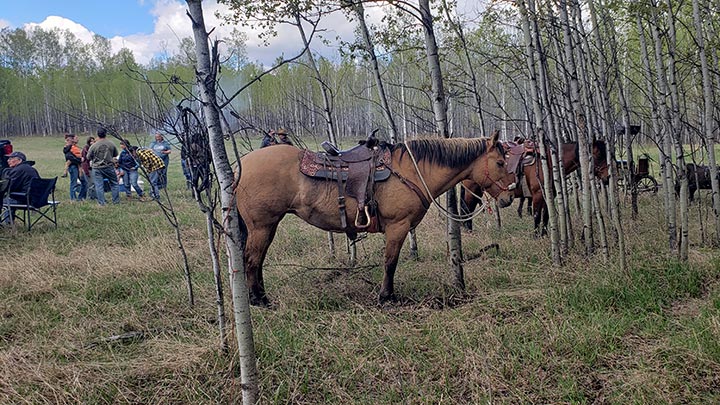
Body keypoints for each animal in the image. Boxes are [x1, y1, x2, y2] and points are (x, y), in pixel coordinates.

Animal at [235, 132, 517, 306]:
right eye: (500, 162)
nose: (509, 197)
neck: (413, 170)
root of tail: (241, 164)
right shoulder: (398, 226)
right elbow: (390, 263)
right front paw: (386, 296)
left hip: (268, 226)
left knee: (257, 261)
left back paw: (259, 296)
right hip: (262, 226)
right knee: (251, 260)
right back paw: (258, 300)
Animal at [460, 140, 610, 236]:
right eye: (599, 155)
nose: (607, 177)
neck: (548, 162)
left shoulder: (549, 194)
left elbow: (547, 215)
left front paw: (544, 234)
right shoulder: (537, 194)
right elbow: (537, 215)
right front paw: (536, 235)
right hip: (472, 191)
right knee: (467, 209)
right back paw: (469, 231)